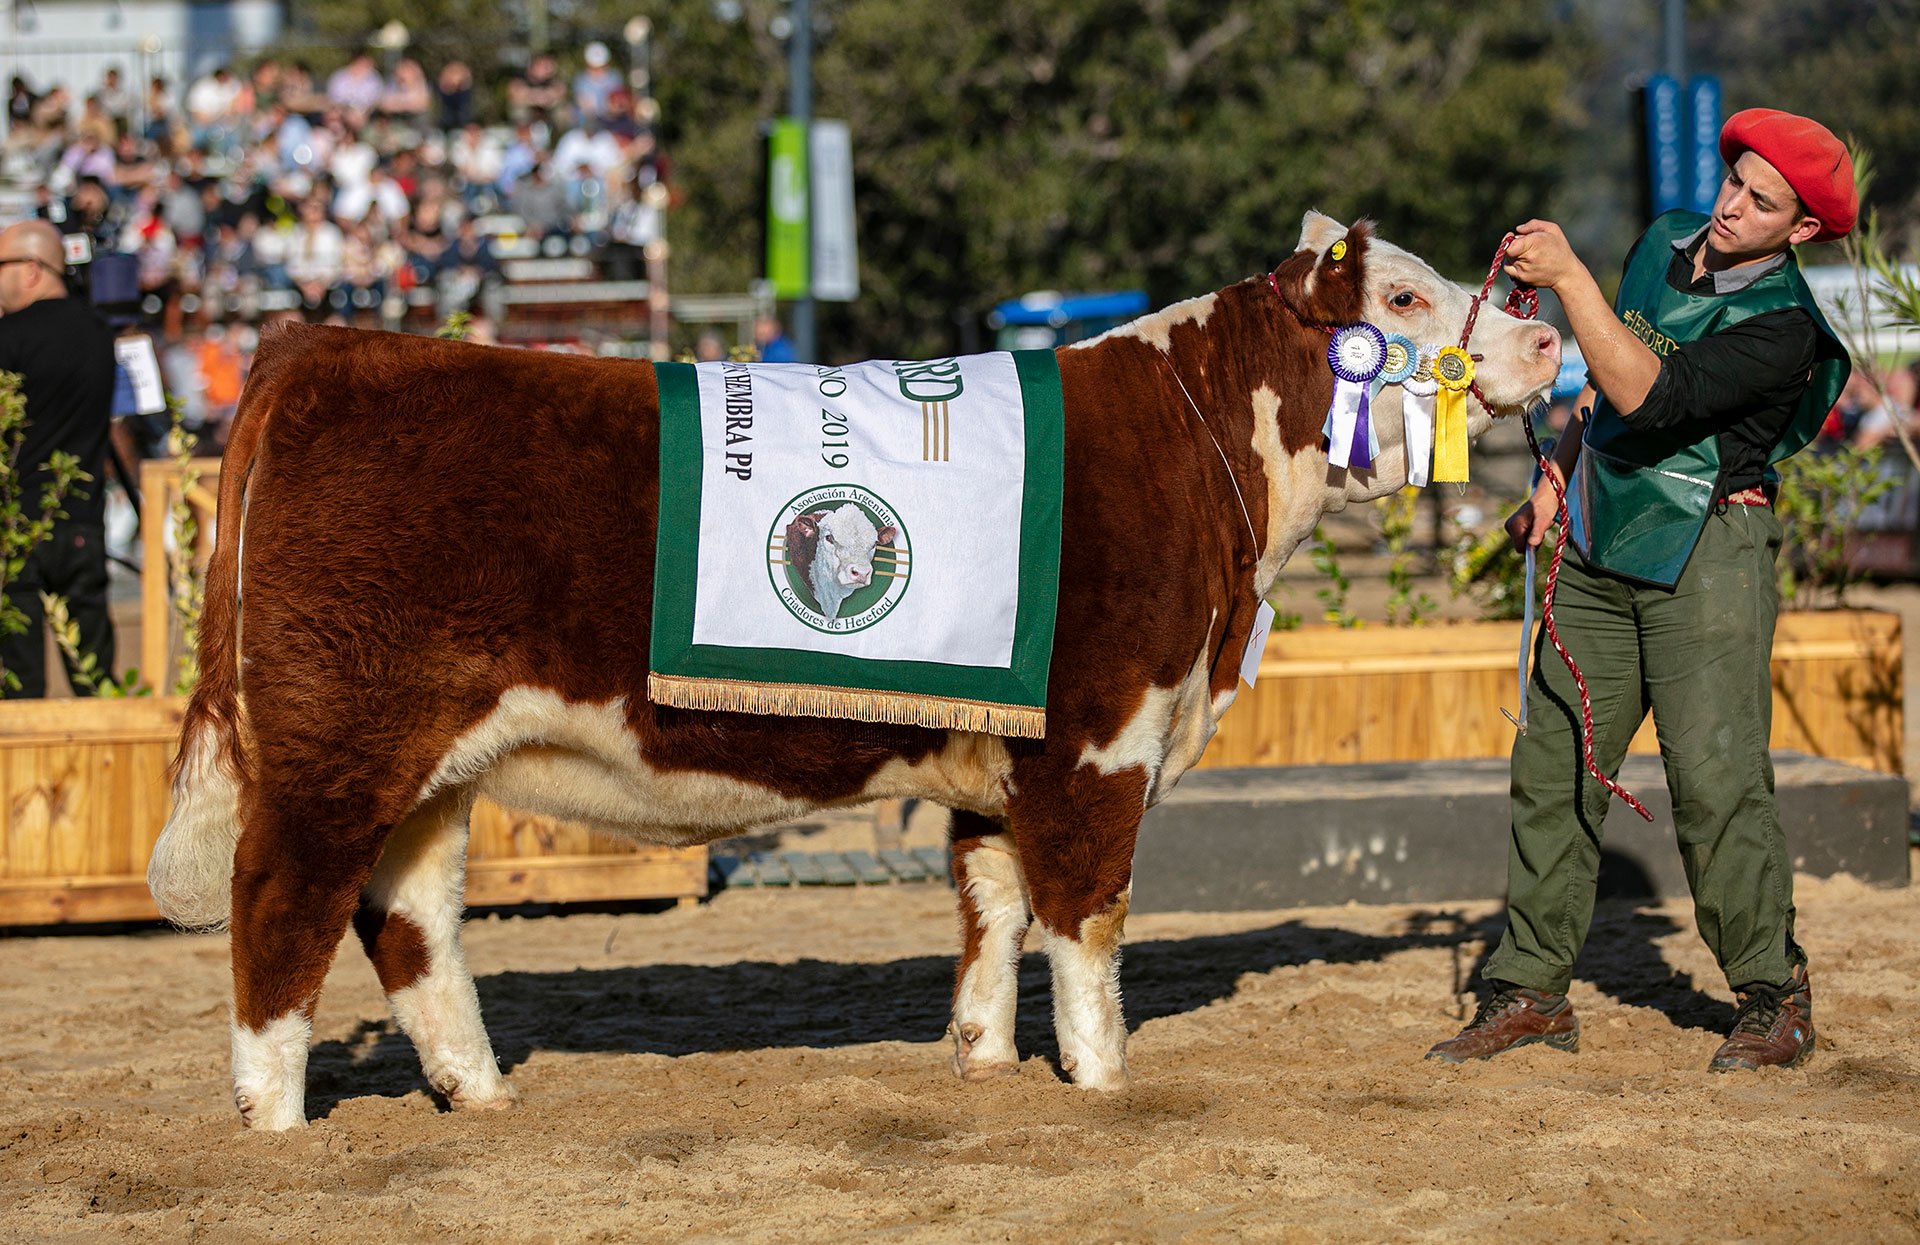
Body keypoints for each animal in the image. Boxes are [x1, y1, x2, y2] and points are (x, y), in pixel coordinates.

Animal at [149, 211, 1559, 1129]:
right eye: (1403, 302)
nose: (1546, 345)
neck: (1201, 451)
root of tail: (317, 350)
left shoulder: (1004, 748)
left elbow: (992, 903)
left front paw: (983, 1062)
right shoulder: (1100, 738)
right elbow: (1088, 916)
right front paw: (1104, 1082)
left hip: (434, 760)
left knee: (411, 914)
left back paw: (480, 1094)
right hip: (334, 747)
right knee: (280, 907)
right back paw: (276, 1124)